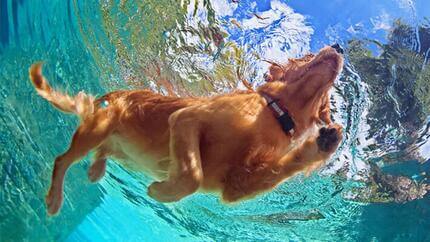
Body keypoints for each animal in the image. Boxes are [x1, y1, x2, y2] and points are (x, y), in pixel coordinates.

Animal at [28, 45, 344, 216]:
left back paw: (96, 170)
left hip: (118, 148)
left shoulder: (236, 186)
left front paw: (326, 142)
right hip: (98, 128)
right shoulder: (186, 119)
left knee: (102, 151)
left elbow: (276, 170)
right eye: (306, 55)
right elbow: (193, 175)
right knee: (62, 160)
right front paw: (161, 191)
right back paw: (54, 199)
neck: (274, 113)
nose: (339, 47)